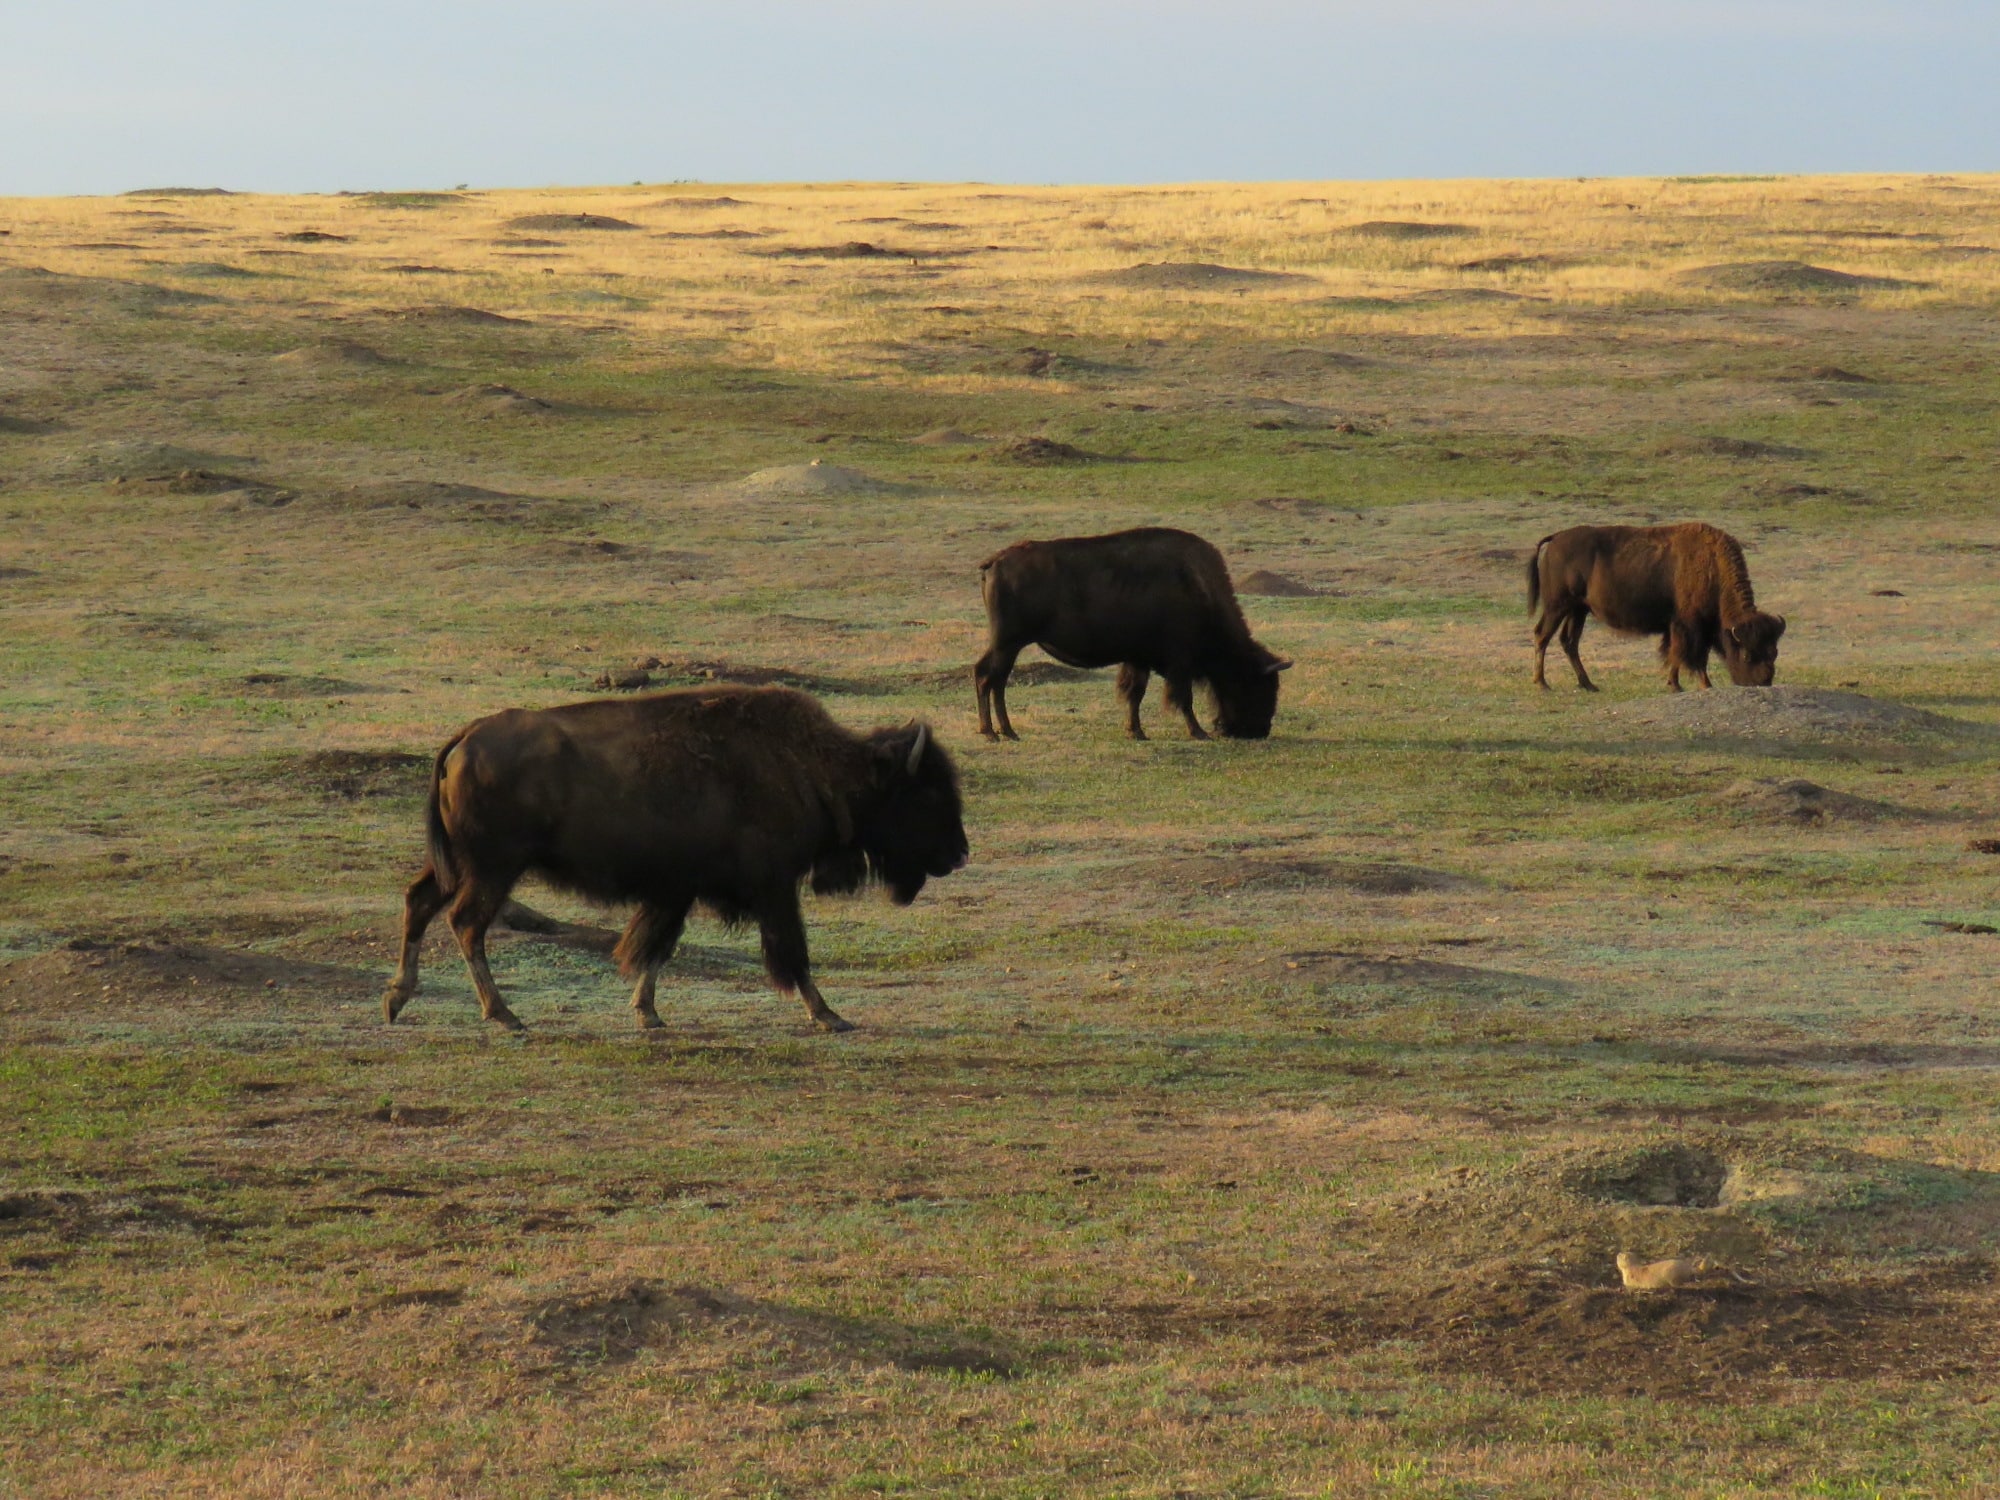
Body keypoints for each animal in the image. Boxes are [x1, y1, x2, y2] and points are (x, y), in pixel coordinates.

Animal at [383, 686, 967, 1033]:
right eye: (927, 794)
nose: (960, 853)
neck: (814, 768)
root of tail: (464, 738)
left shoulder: (677, 889)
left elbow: (657, 947)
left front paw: (647, 1013)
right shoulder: (774, 888)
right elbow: (793, 955)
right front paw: (828, 1015)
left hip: (457, 864)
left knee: (419, 902)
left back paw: (398, 999)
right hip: (493, 869)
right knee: (466, 923)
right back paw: (504, 1015)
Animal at [973, 526, 1291, 740]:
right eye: (1259, 685)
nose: (1259, 731)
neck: (1198, 587)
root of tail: (994, 561)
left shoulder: (1139, 659)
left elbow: (1135, 694)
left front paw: (1136, 732)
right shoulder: (1180, 663)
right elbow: (1182, 698)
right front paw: (1198, 732)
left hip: (1008, 645)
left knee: (993, 679)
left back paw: (1004, 731)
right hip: (1008, 643)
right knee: (989, 677)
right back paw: (995, 733)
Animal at [1528, 522, 1786, 692]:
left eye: (1774, 651)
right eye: (1746, 654)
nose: (1762, 683)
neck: (1712, 566)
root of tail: (1556, 538)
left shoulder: (1685, 628)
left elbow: (1681, 655)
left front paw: (1682, 684)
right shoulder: (1688, 626)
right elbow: (1687, 656)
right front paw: (1691, 685)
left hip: (1578, 610)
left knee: (1569, 642)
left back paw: (1588, 684)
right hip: (1557, 606)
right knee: (1542, 635)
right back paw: (1542, 683)